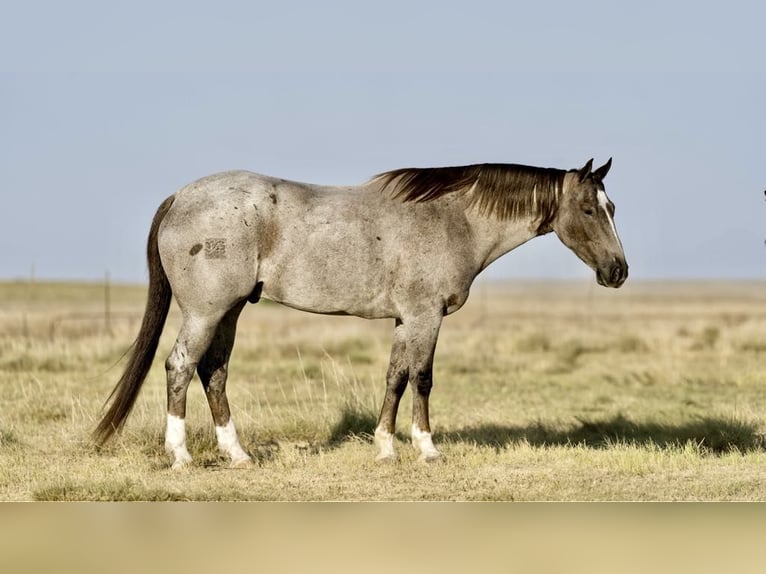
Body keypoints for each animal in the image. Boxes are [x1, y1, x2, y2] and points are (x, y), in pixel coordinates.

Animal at [94, 158, 627, 468]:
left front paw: (385, 447)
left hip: (229, 313)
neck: (451, 219)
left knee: (214, 373)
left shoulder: (405, 320)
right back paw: (181, 454)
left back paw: (238, 454)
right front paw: (427, 448)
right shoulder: (425, 316)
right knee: (181, 367)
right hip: (206, 313)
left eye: (612, 206)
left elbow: (395, 378)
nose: (618, 271)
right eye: (588, 209)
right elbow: (422, 379)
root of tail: (180, 196)